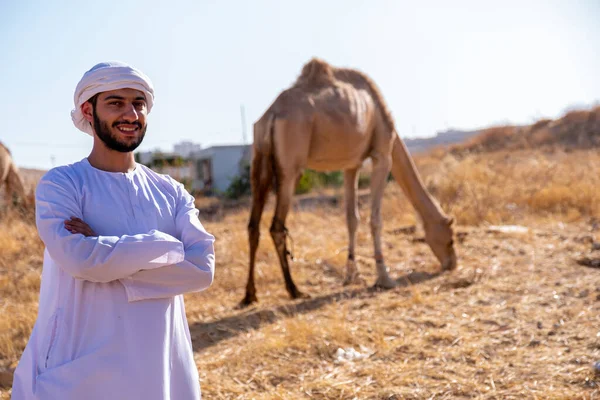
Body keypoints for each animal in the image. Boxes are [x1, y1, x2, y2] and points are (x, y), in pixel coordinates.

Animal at [241, 57, 458, 304]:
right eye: (451, 239)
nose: (452, 263)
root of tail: (271, 116)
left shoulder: (350, 165)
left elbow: (351, 219)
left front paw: (351, 276)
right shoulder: (382, 155)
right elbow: (375, 219)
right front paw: (384, 278)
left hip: (259, 158)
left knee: (253, 225)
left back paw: (250, 295)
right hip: (291, 164)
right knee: (277, 226)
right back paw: (294, 289)